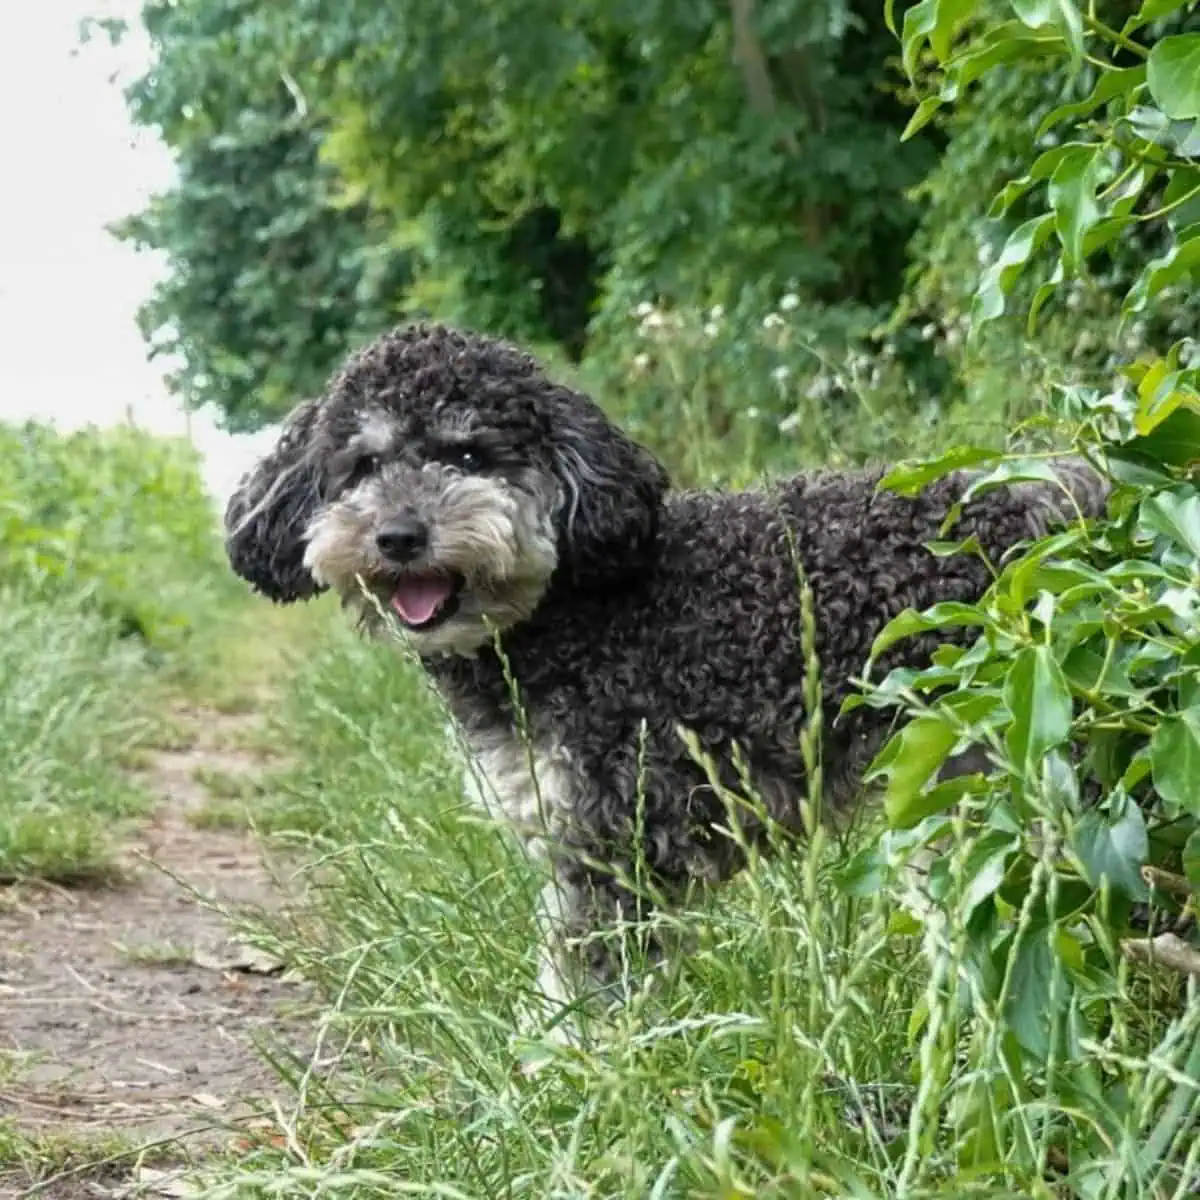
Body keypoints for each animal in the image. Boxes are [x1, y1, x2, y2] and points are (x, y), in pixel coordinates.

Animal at [223, 321, 1104, 1022]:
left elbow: (591, 979)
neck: (570, 617)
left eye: (469, 453)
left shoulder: (620, 832)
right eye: (362, 466)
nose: (400, 536)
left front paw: (573, 1075)